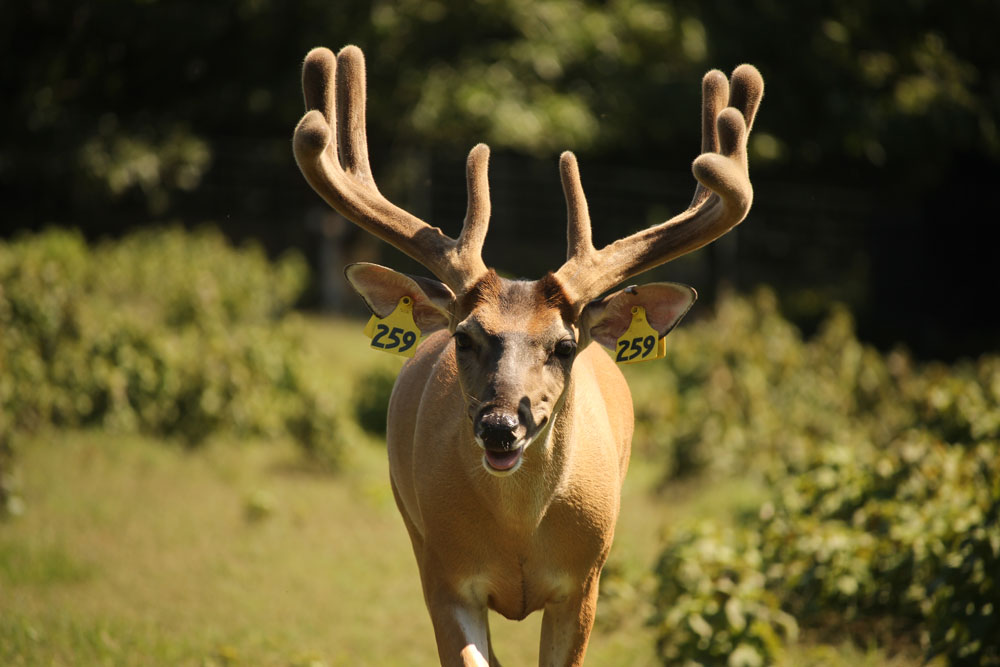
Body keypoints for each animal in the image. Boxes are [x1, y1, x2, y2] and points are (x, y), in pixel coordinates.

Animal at [292, 44, 760, 664]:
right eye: (465, 337)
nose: (500, 427)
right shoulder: (443, 576)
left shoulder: (584, 582)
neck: (519, 533)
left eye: (564, 345)